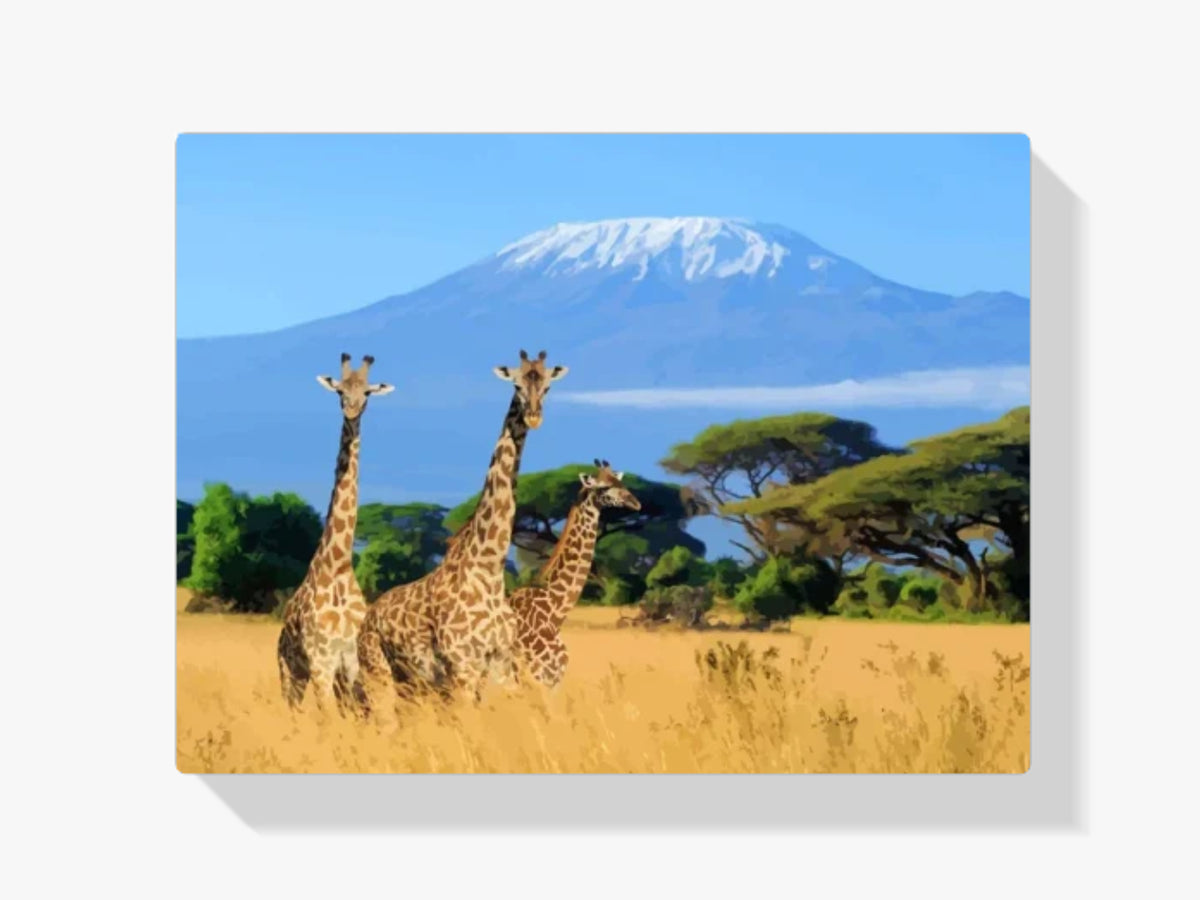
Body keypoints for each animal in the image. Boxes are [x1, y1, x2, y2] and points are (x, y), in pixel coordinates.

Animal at [276, 353, 394, 713]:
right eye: (340, 390)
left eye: (367, 392)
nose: (351, 410)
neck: (339, 566)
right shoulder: (321, 663)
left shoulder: (351, 662)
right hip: (290, 672)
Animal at [356, 349, 568, 713]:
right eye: (516, 384)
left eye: (548, 387)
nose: (534, 417)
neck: (488, 569)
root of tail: (368, 618)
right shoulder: (462, 669)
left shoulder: (501, 666)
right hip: (379, 673)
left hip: (412, 682)